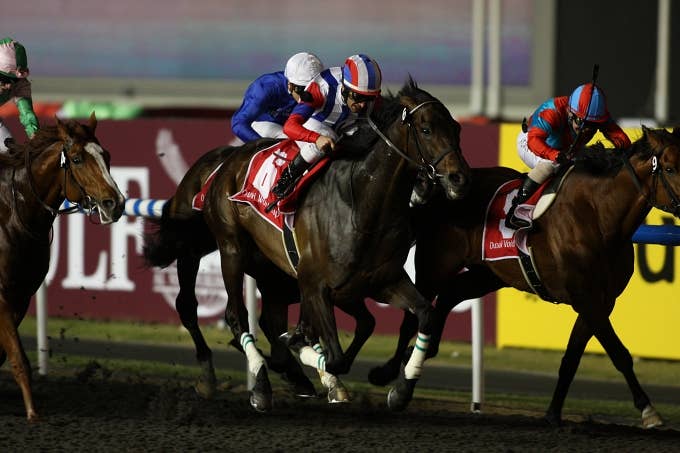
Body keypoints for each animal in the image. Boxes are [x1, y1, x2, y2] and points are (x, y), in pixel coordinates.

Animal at [0, 113, 125, 421]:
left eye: (106, 155)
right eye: (77, 159)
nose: (115, 203)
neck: (14, 214)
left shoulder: (21, 295)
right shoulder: (2, 295)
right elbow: (17, 356)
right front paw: (33, 412)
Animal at [369, 126, 680, 428]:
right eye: (670, 167)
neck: (599, 216)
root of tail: (447, 186)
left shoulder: (600, 301)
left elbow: (571, 359)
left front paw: (553, 414)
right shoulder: (587, 299)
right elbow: (619, 354)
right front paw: (649, 410)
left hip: (487, 274)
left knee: (447, 297)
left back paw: (421, 353)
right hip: (435, 265)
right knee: (414, 316)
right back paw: (390, 374)